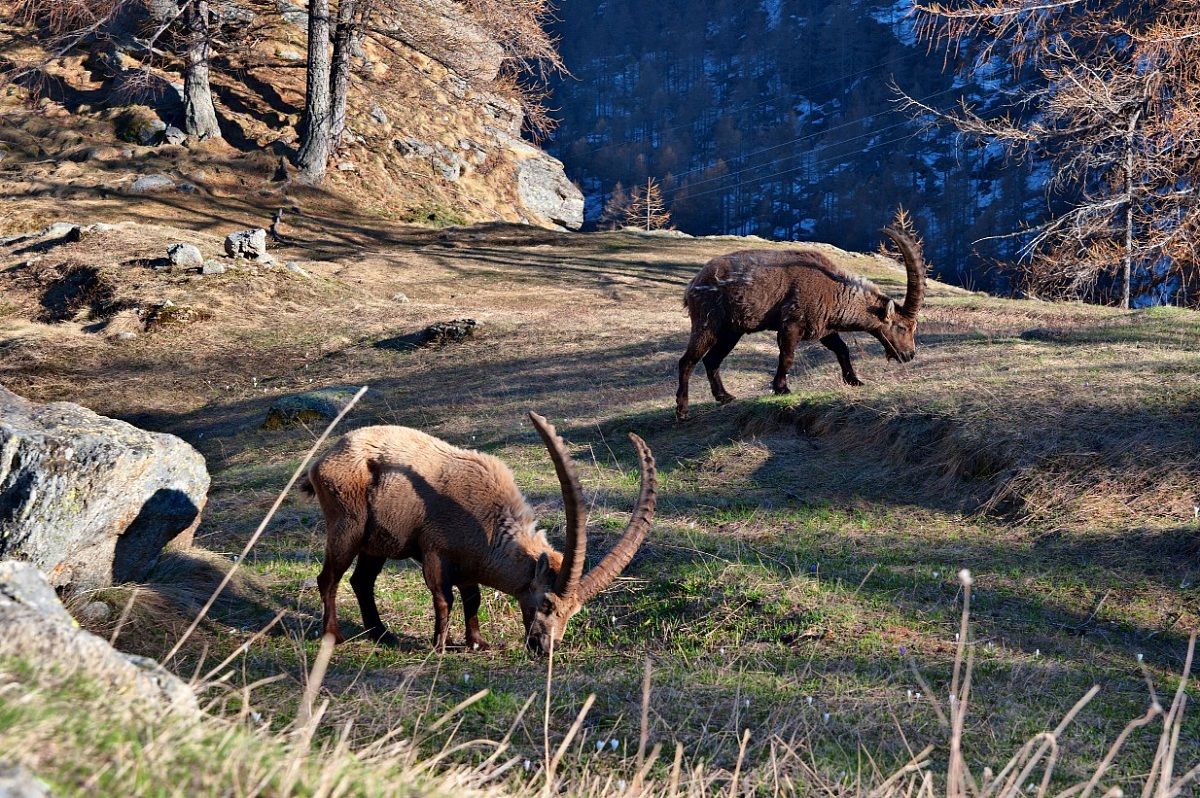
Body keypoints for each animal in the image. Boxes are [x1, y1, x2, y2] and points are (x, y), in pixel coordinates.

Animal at [301, 413, 656, 654]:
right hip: (347, 527)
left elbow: (473, 599)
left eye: (573, 612)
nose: (545, 648)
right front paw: (439, 645)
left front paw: (476, 642)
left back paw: (381, 633)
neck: (487, 524)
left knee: (361, 581)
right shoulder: (434, 553)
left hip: (376, 544)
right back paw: (333, 635)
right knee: (328, 578)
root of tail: (322, 461)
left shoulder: (469, 565)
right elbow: (444, 599)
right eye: (545, 604)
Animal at [675, 227, 926, 420]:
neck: (835, 291)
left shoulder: (824, 329)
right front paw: (781, 388)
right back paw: (683, 410)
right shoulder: (792, 324)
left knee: (711, 360)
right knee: (687, 361)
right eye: (902, 327)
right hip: (707, 322)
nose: (909, 355)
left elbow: (842, 350)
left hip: (731, 331)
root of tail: (692, 285)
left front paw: (854, 380)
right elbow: (787, 356)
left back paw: (724, 396)